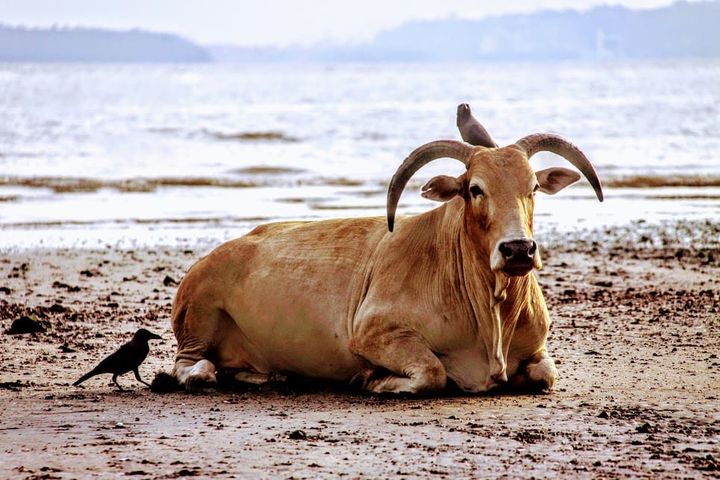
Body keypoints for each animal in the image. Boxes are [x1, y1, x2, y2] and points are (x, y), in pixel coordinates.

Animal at [168, 104, 603, 394]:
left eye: (533, 187)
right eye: (475, 189)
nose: (517, 250)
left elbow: (545, 374)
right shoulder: (372, 333)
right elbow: (432, 373)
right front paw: (374, 379)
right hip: (197, 319)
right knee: (187, 364)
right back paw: (206, 375)